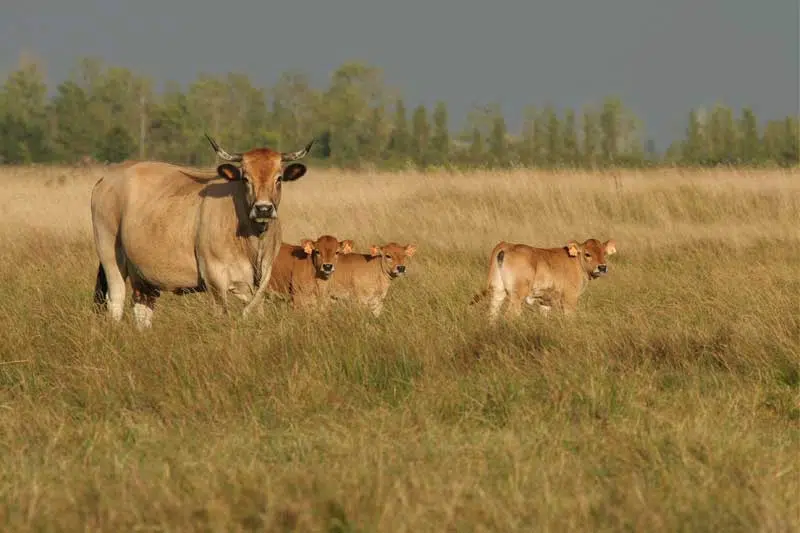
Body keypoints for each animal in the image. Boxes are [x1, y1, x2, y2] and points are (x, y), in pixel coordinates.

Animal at [91, 134, 314, 329]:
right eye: (245, 179)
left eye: (279, 178)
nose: (263, 209)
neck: (253, 242)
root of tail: (107, 178)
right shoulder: (215, 277)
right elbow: (223, 315)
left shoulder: (263, 277)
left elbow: (255, 311)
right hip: (110, 254)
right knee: (116, 300)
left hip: (142, 273)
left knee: (142, 308)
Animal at [472, 238, 617, 322]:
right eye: (587, 254)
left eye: (604, 253)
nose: (602, 267)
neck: (576, 262)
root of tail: (507, 246)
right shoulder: (570, 298)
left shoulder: (545, 302)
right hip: (517, 296)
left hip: (498, 291)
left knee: (492, 315)